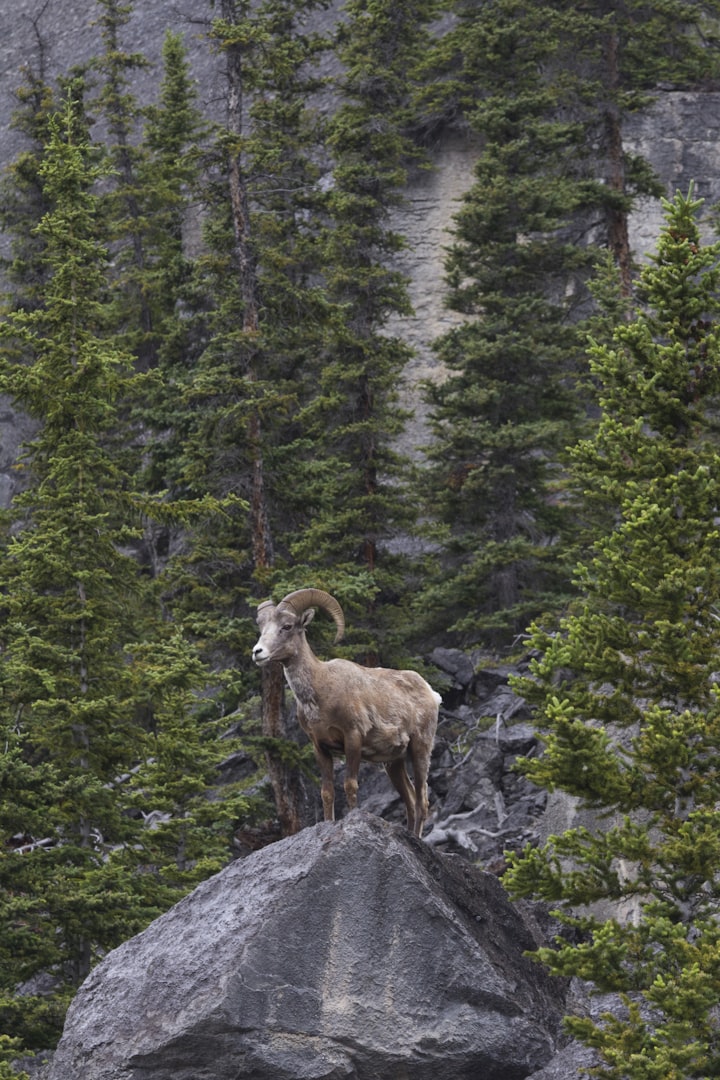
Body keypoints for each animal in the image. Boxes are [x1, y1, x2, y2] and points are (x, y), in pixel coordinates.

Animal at [253, 591, 440, 833]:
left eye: (287, 626)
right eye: (262, 627)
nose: (258, 652)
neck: (321, 692)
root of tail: (431, 693)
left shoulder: (353, 738)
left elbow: (350, 785)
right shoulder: (320, 748)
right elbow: (327, 792)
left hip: (420, 749)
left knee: (421, 802)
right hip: (394, 762)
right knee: (410, 801)